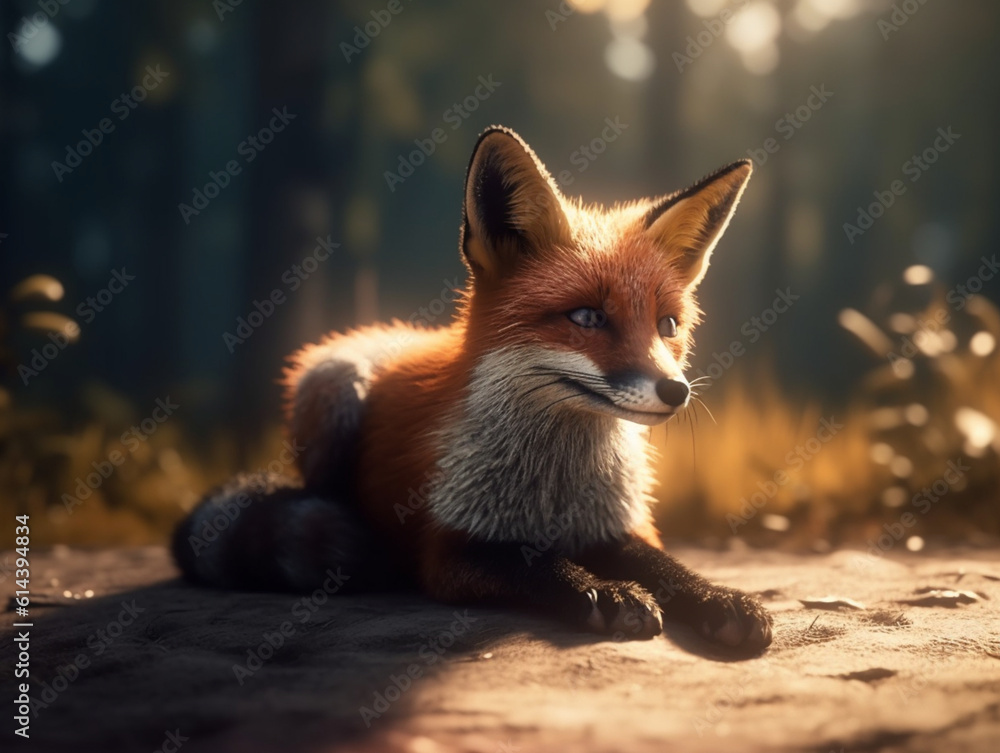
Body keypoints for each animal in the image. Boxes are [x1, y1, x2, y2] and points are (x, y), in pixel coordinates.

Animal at [173, 126, 773, 653]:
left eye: (667, 325)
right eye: (587, 317)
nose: (675, 391)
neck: (552, 493)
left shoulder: (619, 527)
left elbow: (667, 567)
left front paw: (719, 597)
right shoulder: (451, 550)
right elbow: (536, 564)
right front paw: (603, 591)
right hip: (336, 389)